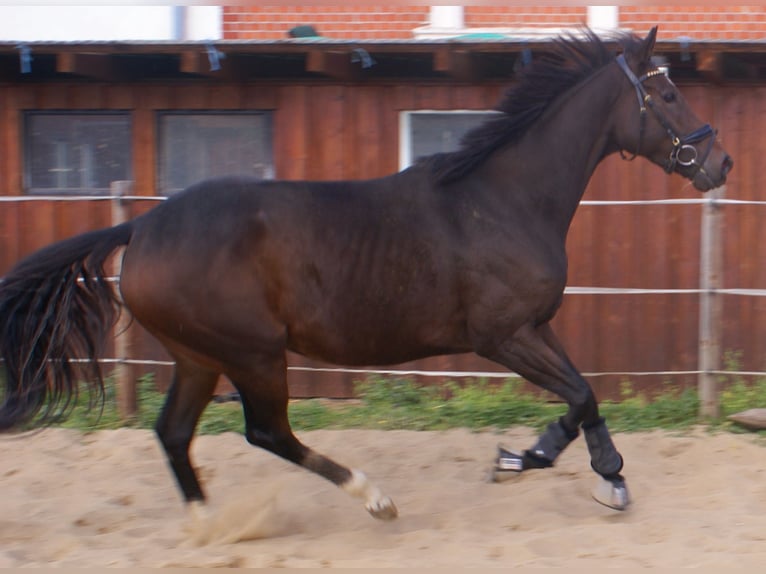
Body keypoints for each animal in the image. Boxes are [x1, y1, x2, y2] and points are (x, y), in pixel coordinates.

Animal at [0, 27, 732, 523]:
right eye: (667, 92)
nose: (718, 162)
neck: (502, 199)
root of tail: (142, 228)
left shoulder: (533, 325)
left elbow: (586, 394)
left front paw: (596, 475)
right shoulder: (500, 336)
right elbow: (578, 396)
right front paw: (527, 462)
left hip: (198, 356)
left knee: (174, 434)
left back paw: (208, 523)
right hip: (252, 352)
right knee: (266, 431)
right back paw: (373, 498)